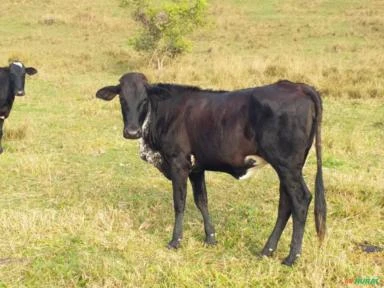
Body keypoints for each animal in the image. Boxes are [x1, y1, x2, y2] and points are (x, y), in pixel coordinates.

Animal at [97, 73, 328, 266]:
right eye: (122, 99)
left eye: (144, 100)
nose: (132, 132)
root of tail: (298, 85)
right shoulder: (196, 168)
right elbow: (202, 201)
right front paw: (210, 238)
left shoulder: (178, 162)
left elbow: (179, 203)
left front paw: (175, 241)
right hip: (286, 167)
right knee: (285, 203)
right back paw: (267, 250)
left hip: (287, 166)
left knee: (300, 200)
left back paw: (291, 257)